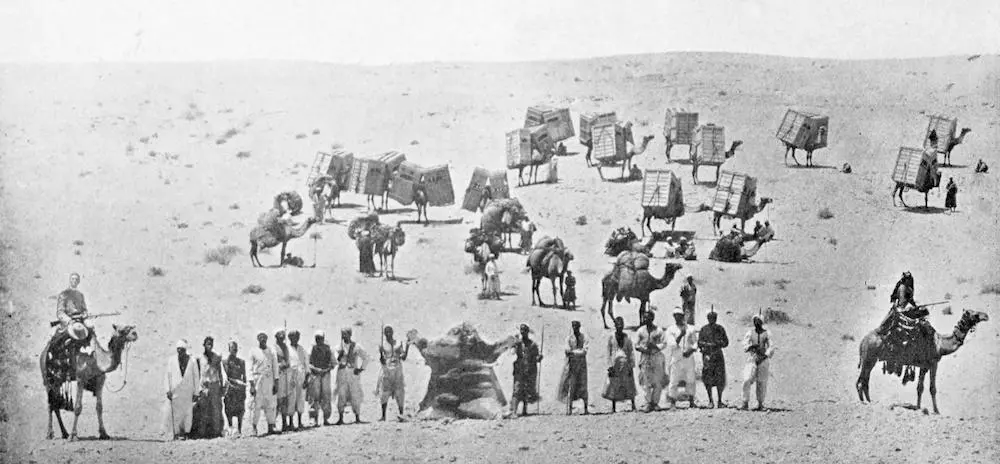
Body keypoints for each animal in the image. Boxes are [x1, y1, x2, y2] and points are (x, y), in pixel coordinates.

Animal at [856, 308, 988, 414]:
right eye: (975, 314)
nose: (986, 316)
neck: (940, 345)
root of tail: (863, 341)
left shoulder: (924, 366)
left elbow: (920, 388)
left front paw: (918, 407)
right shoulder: (934, 364)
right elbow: (932, 389)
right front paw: (936, 411)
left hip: (870, 359)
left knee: (865, 380)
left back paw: (869, 401)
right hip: (869, 358)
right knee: (861, 380)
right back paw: (864, 402)